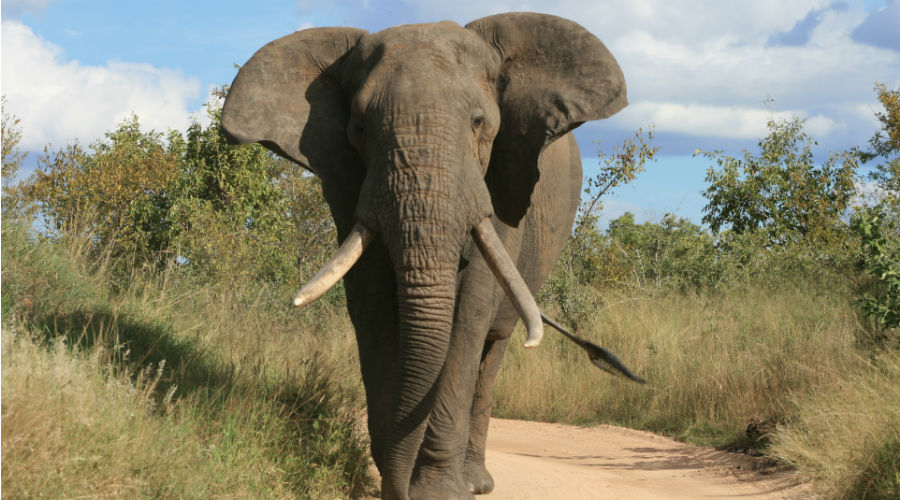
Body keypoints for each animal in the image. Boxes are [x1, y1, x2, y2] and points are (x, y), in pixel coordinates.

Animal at [221, 12, 624, 500]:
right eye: (359, 129)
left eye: (478, 122)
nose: (399, 490)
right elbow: (374, 309)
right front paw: (393, 476)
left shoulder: (499, 187)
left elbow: (466, 318)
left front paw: (436, 491)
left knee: (492, 349)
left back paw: (475, 482)